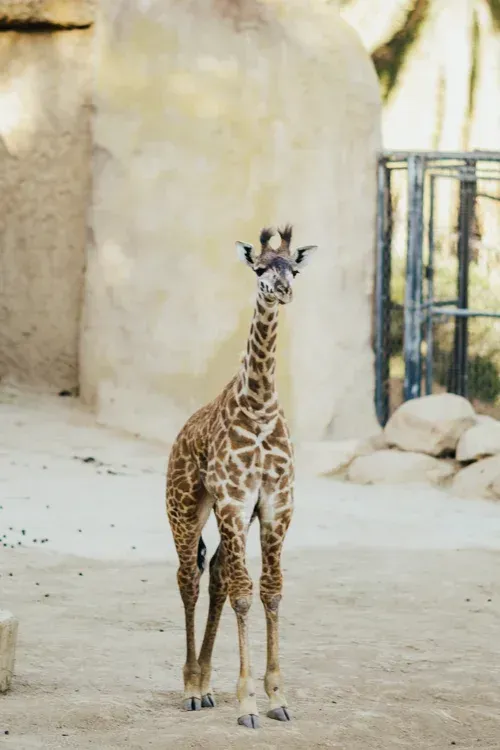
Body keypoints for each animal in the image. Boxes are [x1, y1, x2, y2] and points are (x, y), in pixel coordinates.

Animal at [166, 224, 318, 729]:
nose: (282, 289)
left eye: (293, 269)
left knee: (214, 573)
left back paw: (208, 685)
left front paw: (277, 698)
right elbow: (244, 594)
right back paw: (192, 687)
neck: (260, 405)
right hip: (185, 506)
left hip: (228, 514)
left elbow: (270, 590)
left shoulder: (275, 504)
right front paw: (249, 703)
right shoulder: (234, 499)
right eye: (259, 268)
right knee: (189, 578)